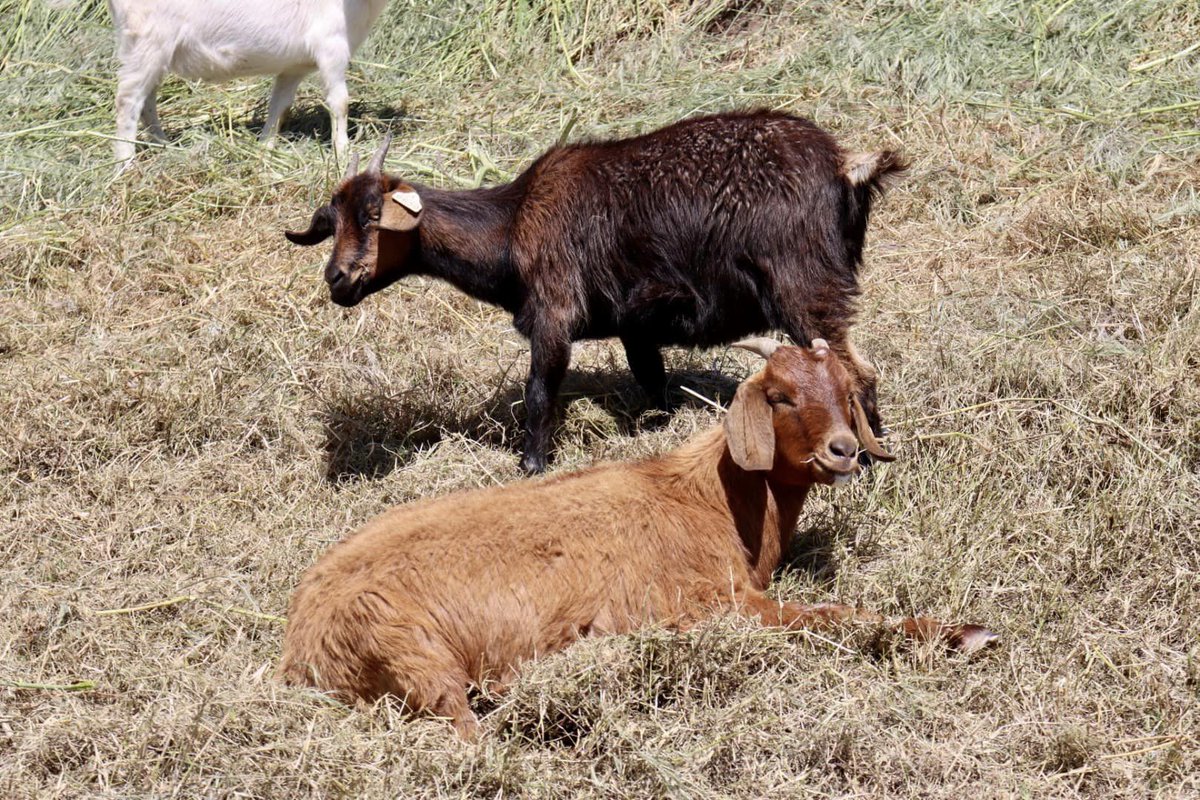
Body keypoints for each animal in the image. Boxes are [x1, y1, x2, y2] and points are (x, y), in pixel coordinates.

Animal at [106, 0, 388, 168]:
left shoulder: (293, 67)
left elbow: (280, 107)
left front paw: (265, 148)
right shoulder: (332, 47)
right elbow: (340, 103)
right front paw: (344, 153)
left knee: (147, 99)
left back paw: (164, 146)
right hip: (149, 39)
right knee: (128, 98)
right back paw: (126, 164)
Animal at [277, 338, 996, 738]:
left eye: (846, 391)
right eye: (781, 395)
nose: (844, 451)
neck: (708, 498)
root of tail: (301, 645)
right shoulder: (717, 602)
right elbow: (829, 614)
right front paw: (964, 633)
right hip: (412, 652)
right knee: (464, 733)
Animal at [286, 110, 904, 473]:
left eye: (373, 215)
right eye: (331, 222)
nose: (337, 280)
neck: (511, 225)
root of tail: (845, 166)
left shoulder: (554, 312)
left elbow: (539, 393)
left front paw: (531, 466)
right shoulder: (635, 324)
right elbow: (652, 383)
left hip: (806, 286)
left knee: (857, 371)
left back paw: (869, 458)